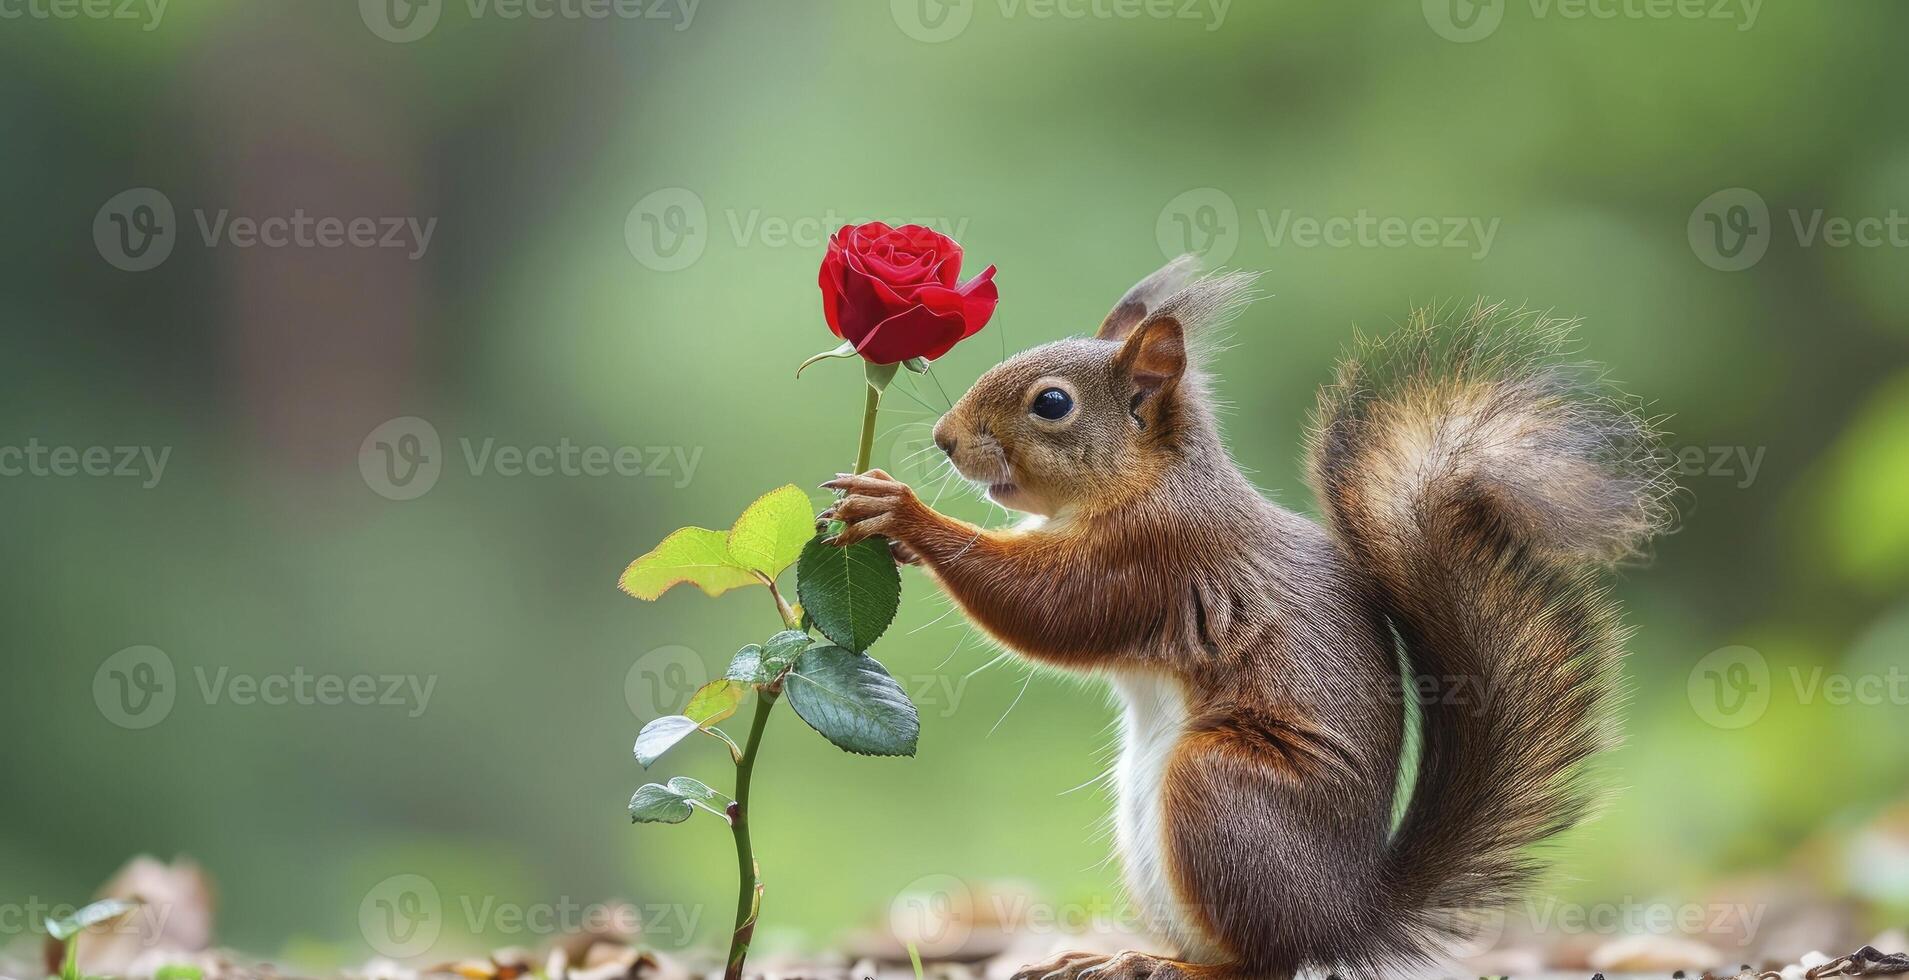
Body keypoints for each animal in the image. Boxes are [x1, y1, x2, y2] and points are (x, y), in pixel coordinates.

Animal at [820, 255, 1672, 974]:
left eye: (1052, 404)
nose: (944, 439)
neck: (1150, 480)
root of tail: (1342, 916)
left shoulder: (1156, 558)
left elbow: (1049, 609)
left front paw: (904, 514)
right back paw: (1114, 954)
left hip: (1220, 791)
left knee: (1259, 963)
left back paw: (1160, 965)